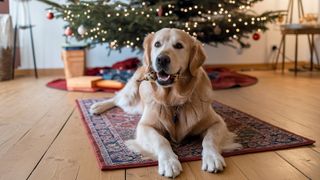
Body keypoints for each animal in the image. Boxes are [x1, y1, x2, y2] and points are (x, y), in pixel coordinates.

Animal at [89, 27, 240, 177]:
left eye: (178, 45)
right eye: (157, 44)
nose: (161, 59)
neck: (174, 100)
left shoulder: (217, 122)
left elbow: (209, 139)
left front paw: (212, 157)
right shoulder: (145, 126)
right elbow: (161, 141)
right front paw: (169, 162)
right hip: (131, 94)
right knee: (117, 99)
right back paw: (97, 106)